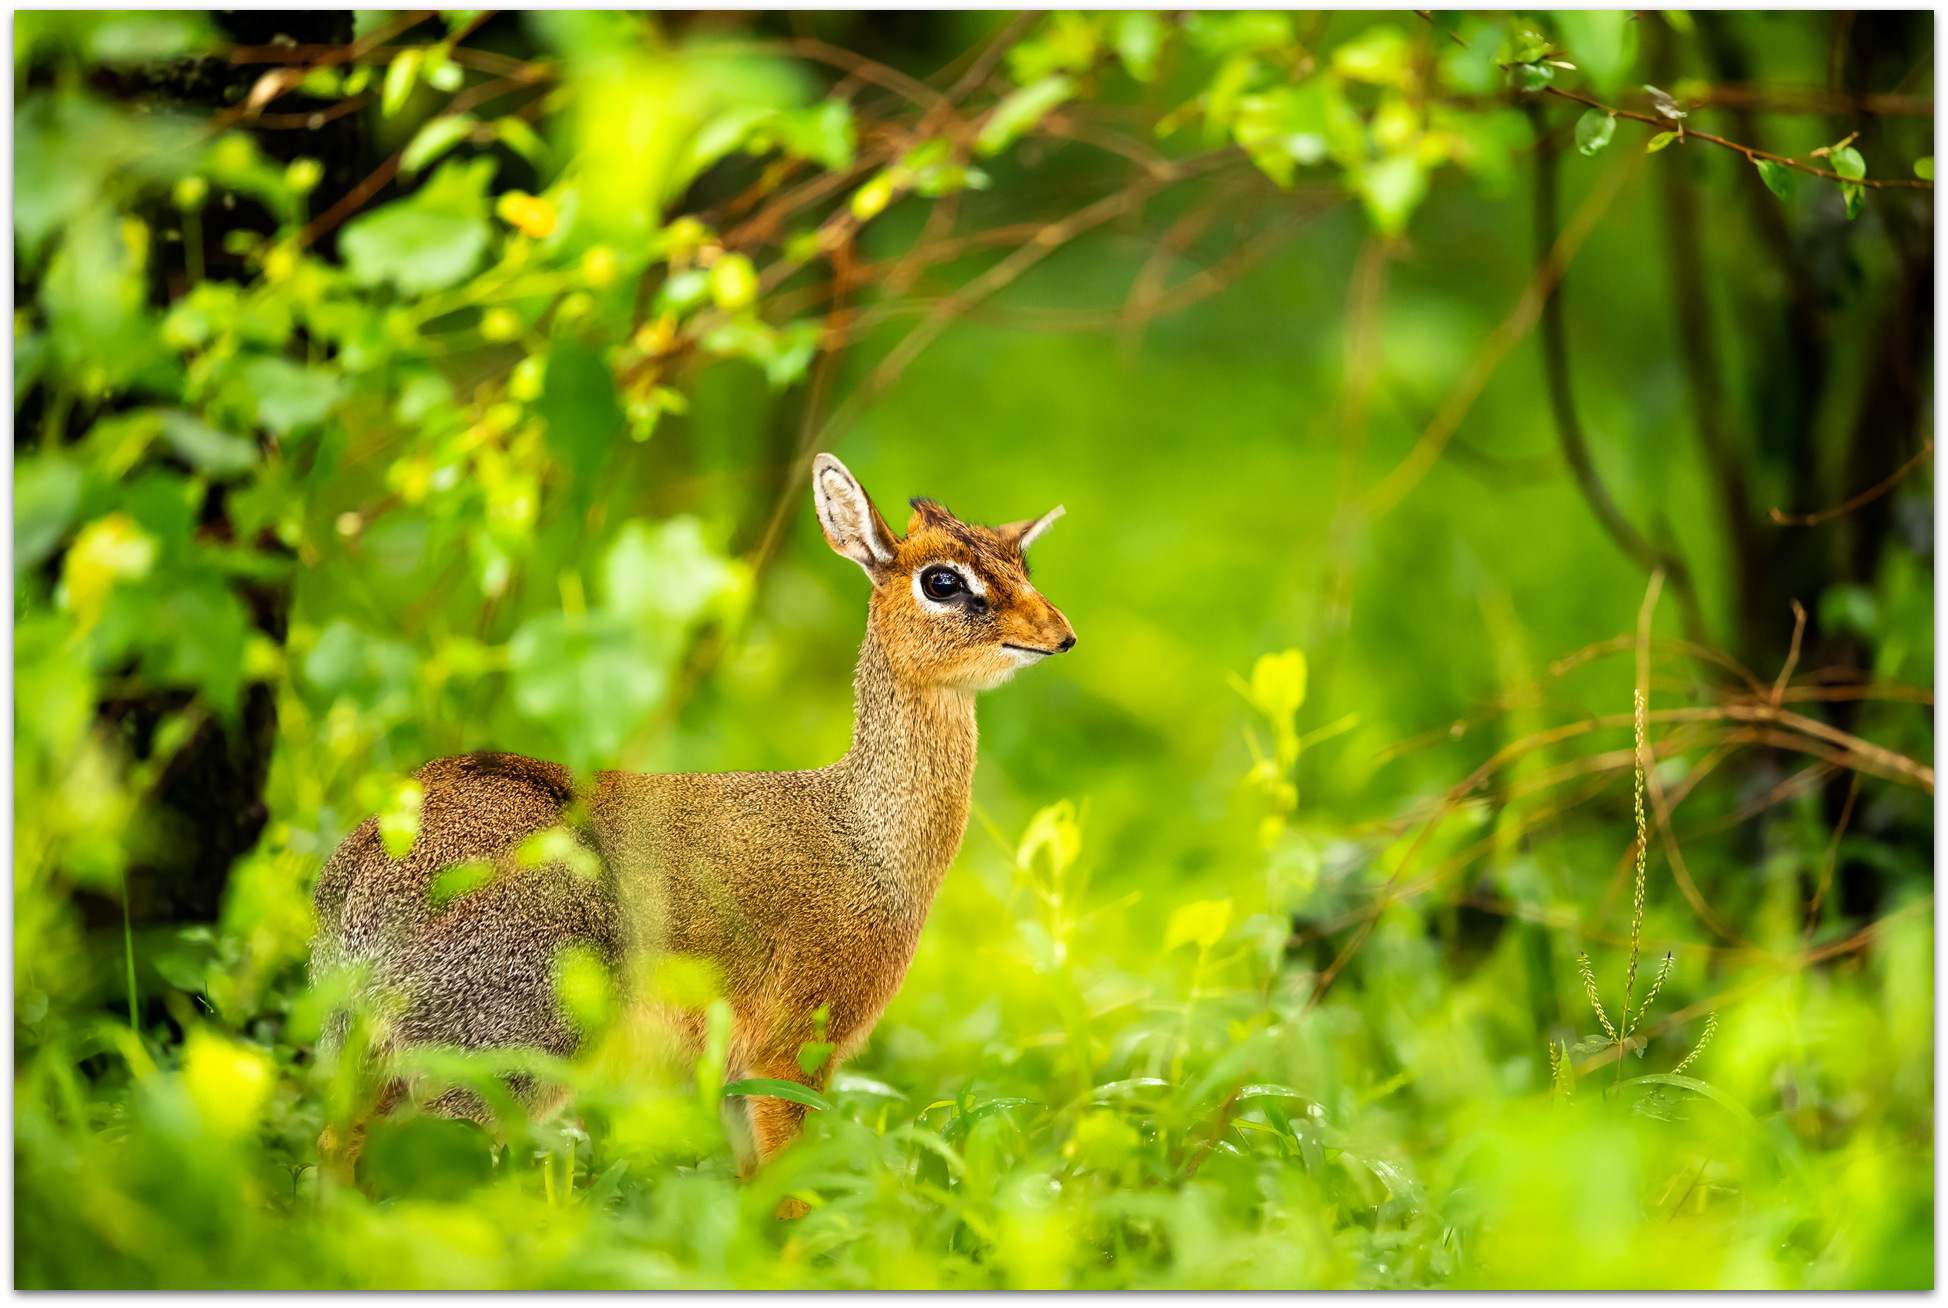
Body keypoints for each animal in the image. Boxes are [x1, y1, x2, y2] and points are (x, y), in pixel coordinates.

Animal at [315, 458, 1083, 1200]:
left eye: (1021, 564)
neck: (864, 834)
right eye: (942, 580)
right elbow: (790, 1193)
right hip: (509, 1050)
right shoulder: (793, 1049)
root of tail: (358, 881)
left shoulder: (739, 1076)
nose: (1061, 635)